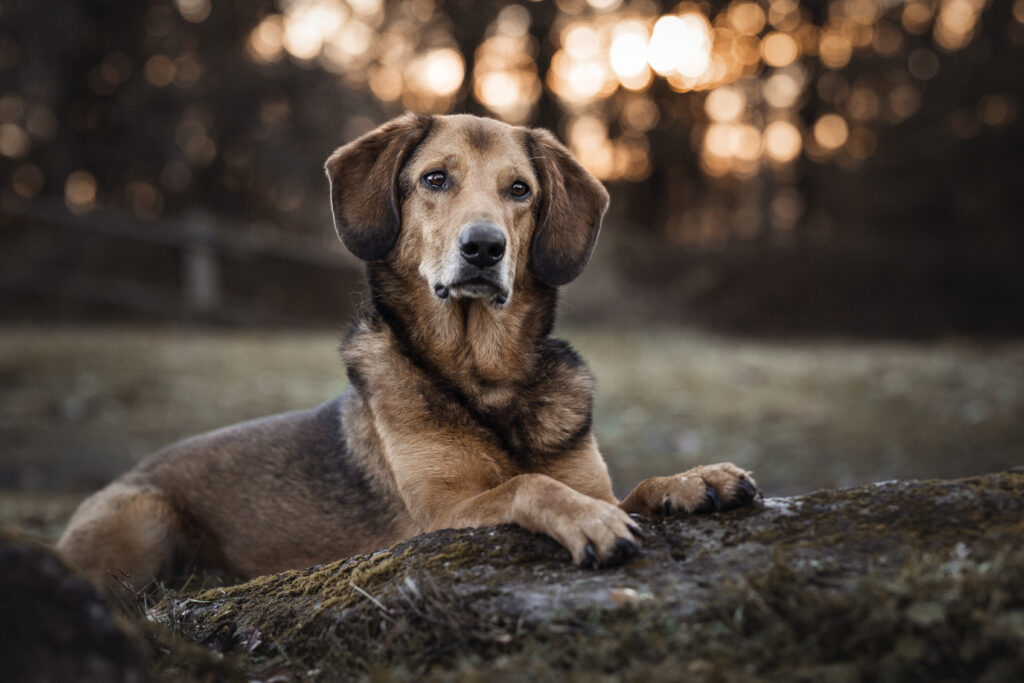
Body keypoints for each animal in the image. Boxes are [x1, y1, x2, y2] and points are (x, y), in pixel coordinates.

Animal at [58, 112, 761, 589]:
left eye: (520, 190)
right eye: (435, 179)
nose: (484, 247)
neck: (483, 377)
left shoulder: (593, 480)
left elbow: (628, 487)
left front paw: (692, 479)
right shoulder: (432, 524)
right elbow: (529, 484)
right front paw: (588, 521)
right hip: (142, 517)